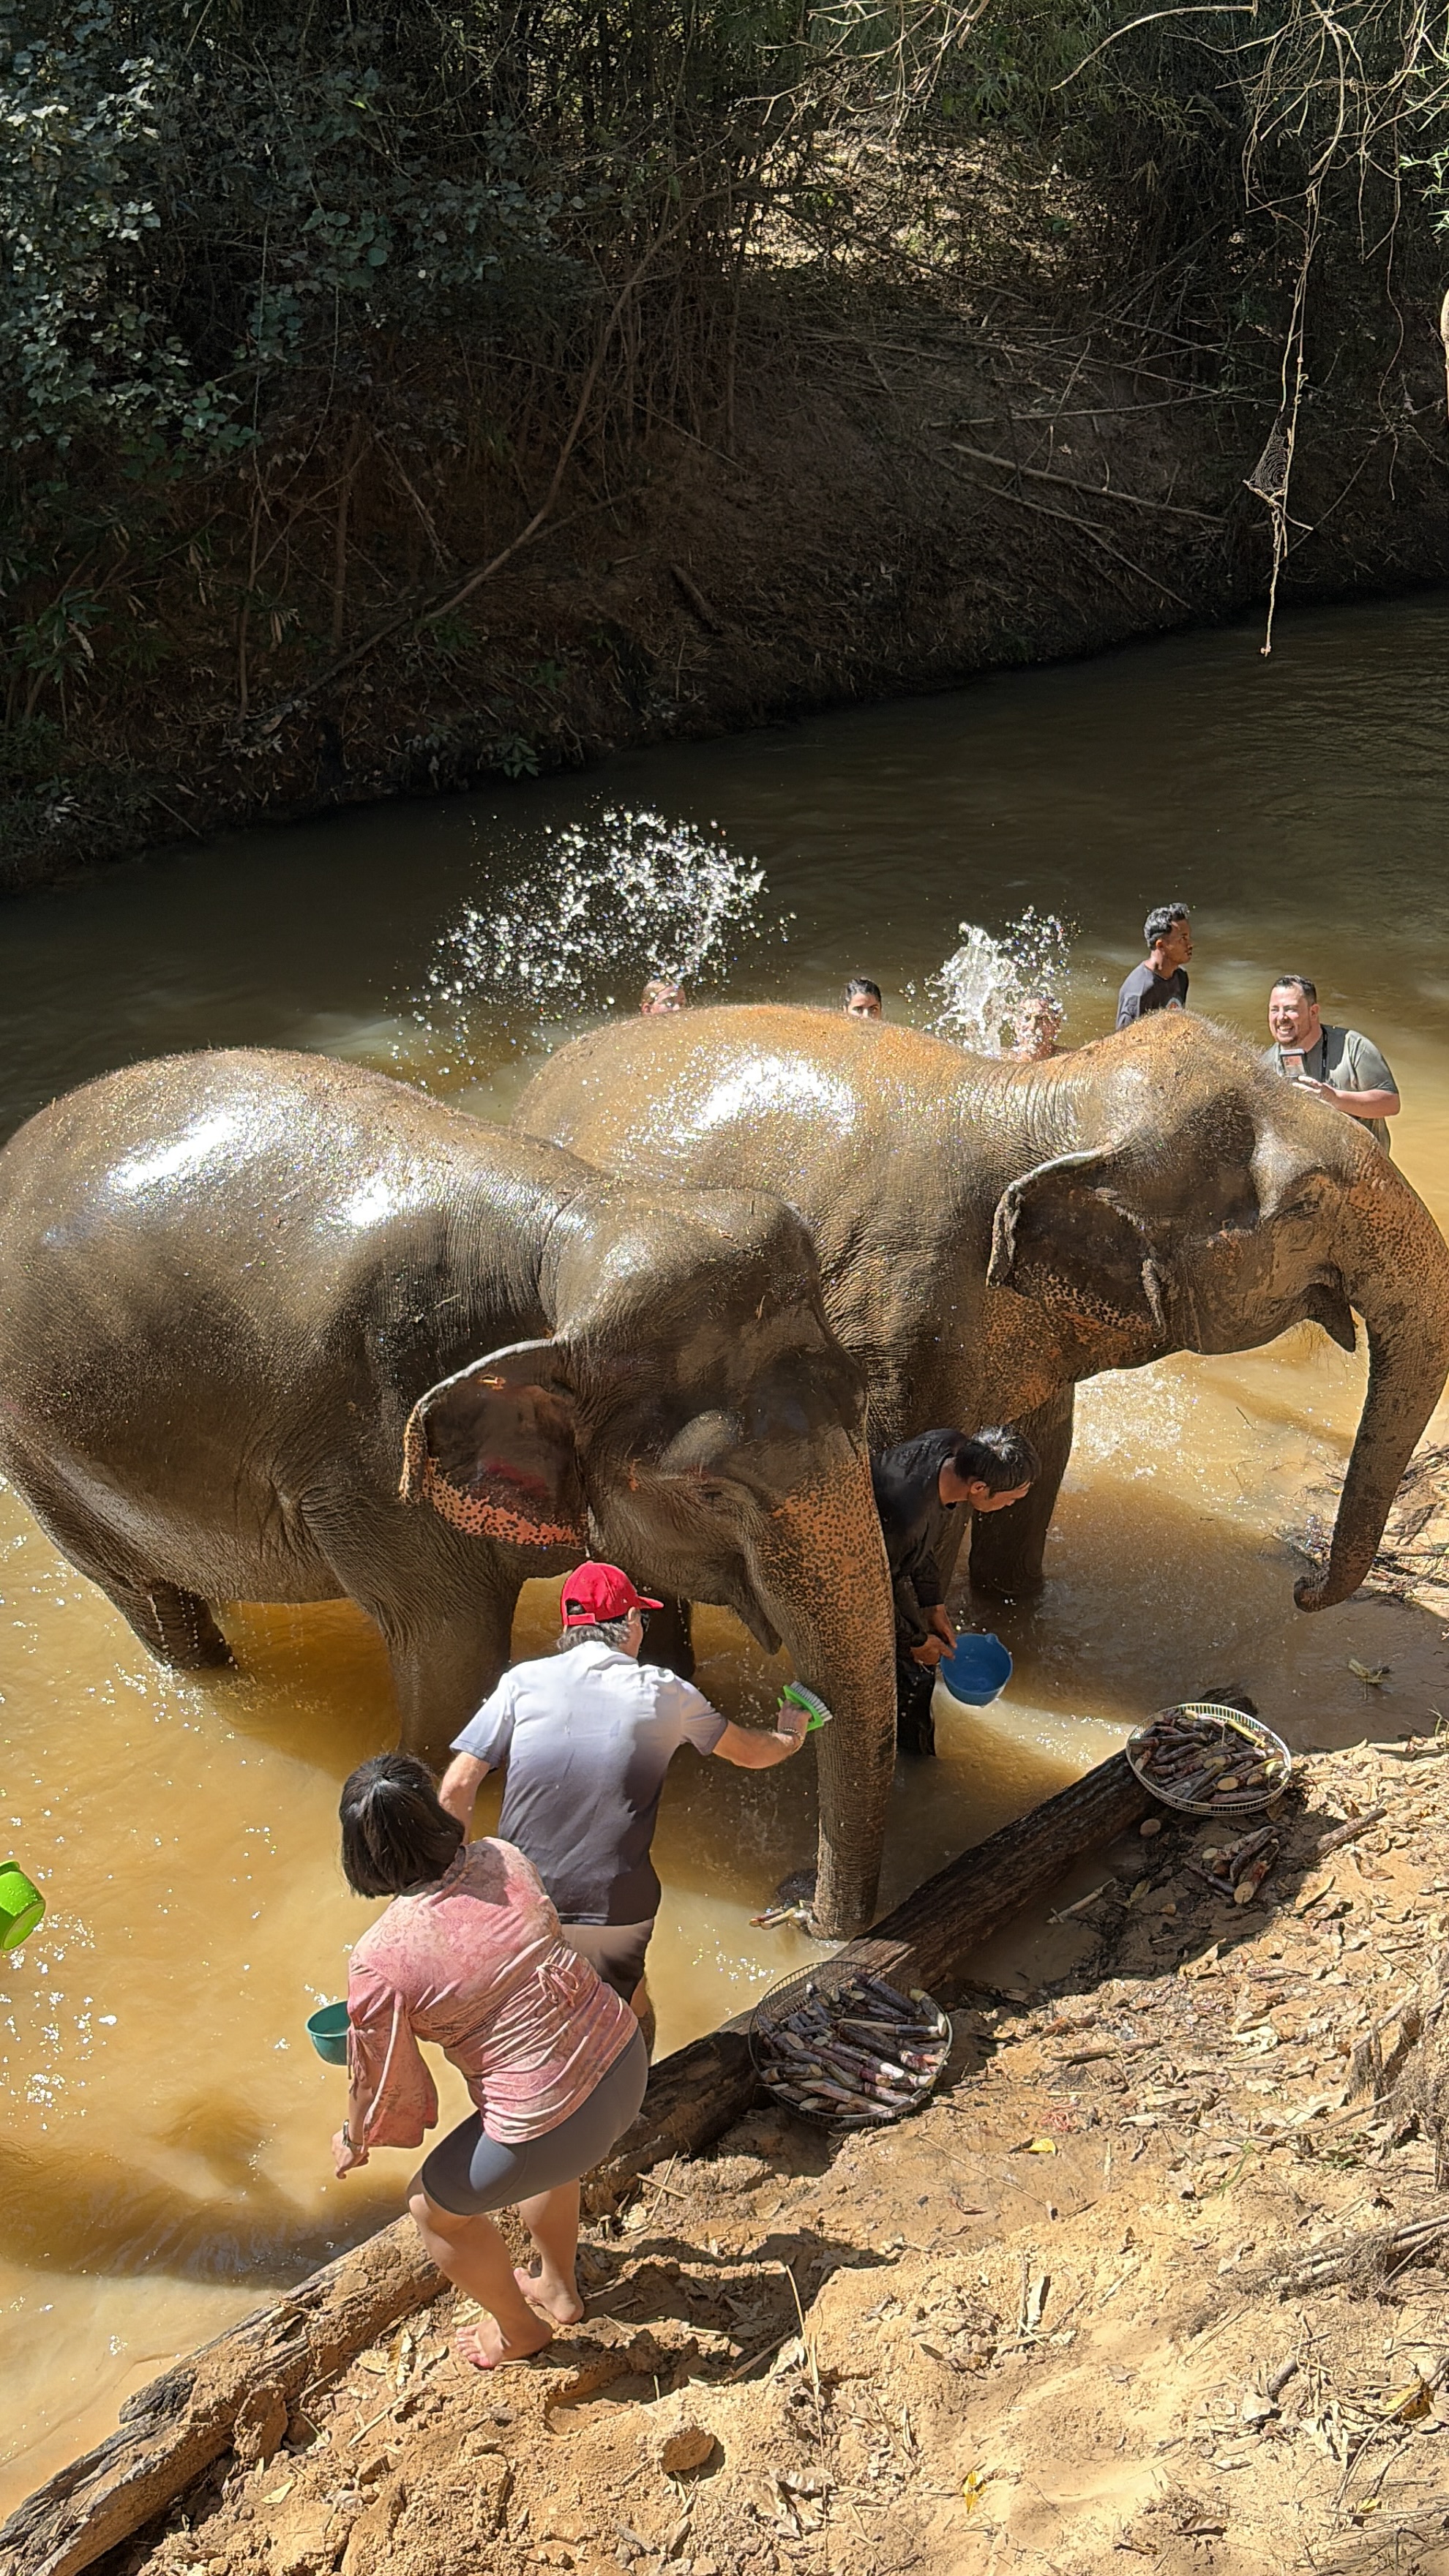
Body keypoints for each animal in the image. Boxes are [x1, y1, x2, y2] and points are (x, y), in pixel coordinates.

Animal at [0, 1050, 896, 1937]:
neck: (574, 1228)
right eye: (710, 1490)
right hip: (41, 1467)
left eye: (860, 1399)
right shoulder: (375, 1467)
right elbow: (452, 1661)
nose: (793, 1904)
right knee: (156, 1610)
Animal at [516, 1006, 1449, 1615]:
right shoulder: (896, 1324)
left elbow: (1046, 1461)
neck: (1042, 1092)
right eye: (1306, 1203)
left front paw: (1016, 1610)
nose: (1300, 1587)